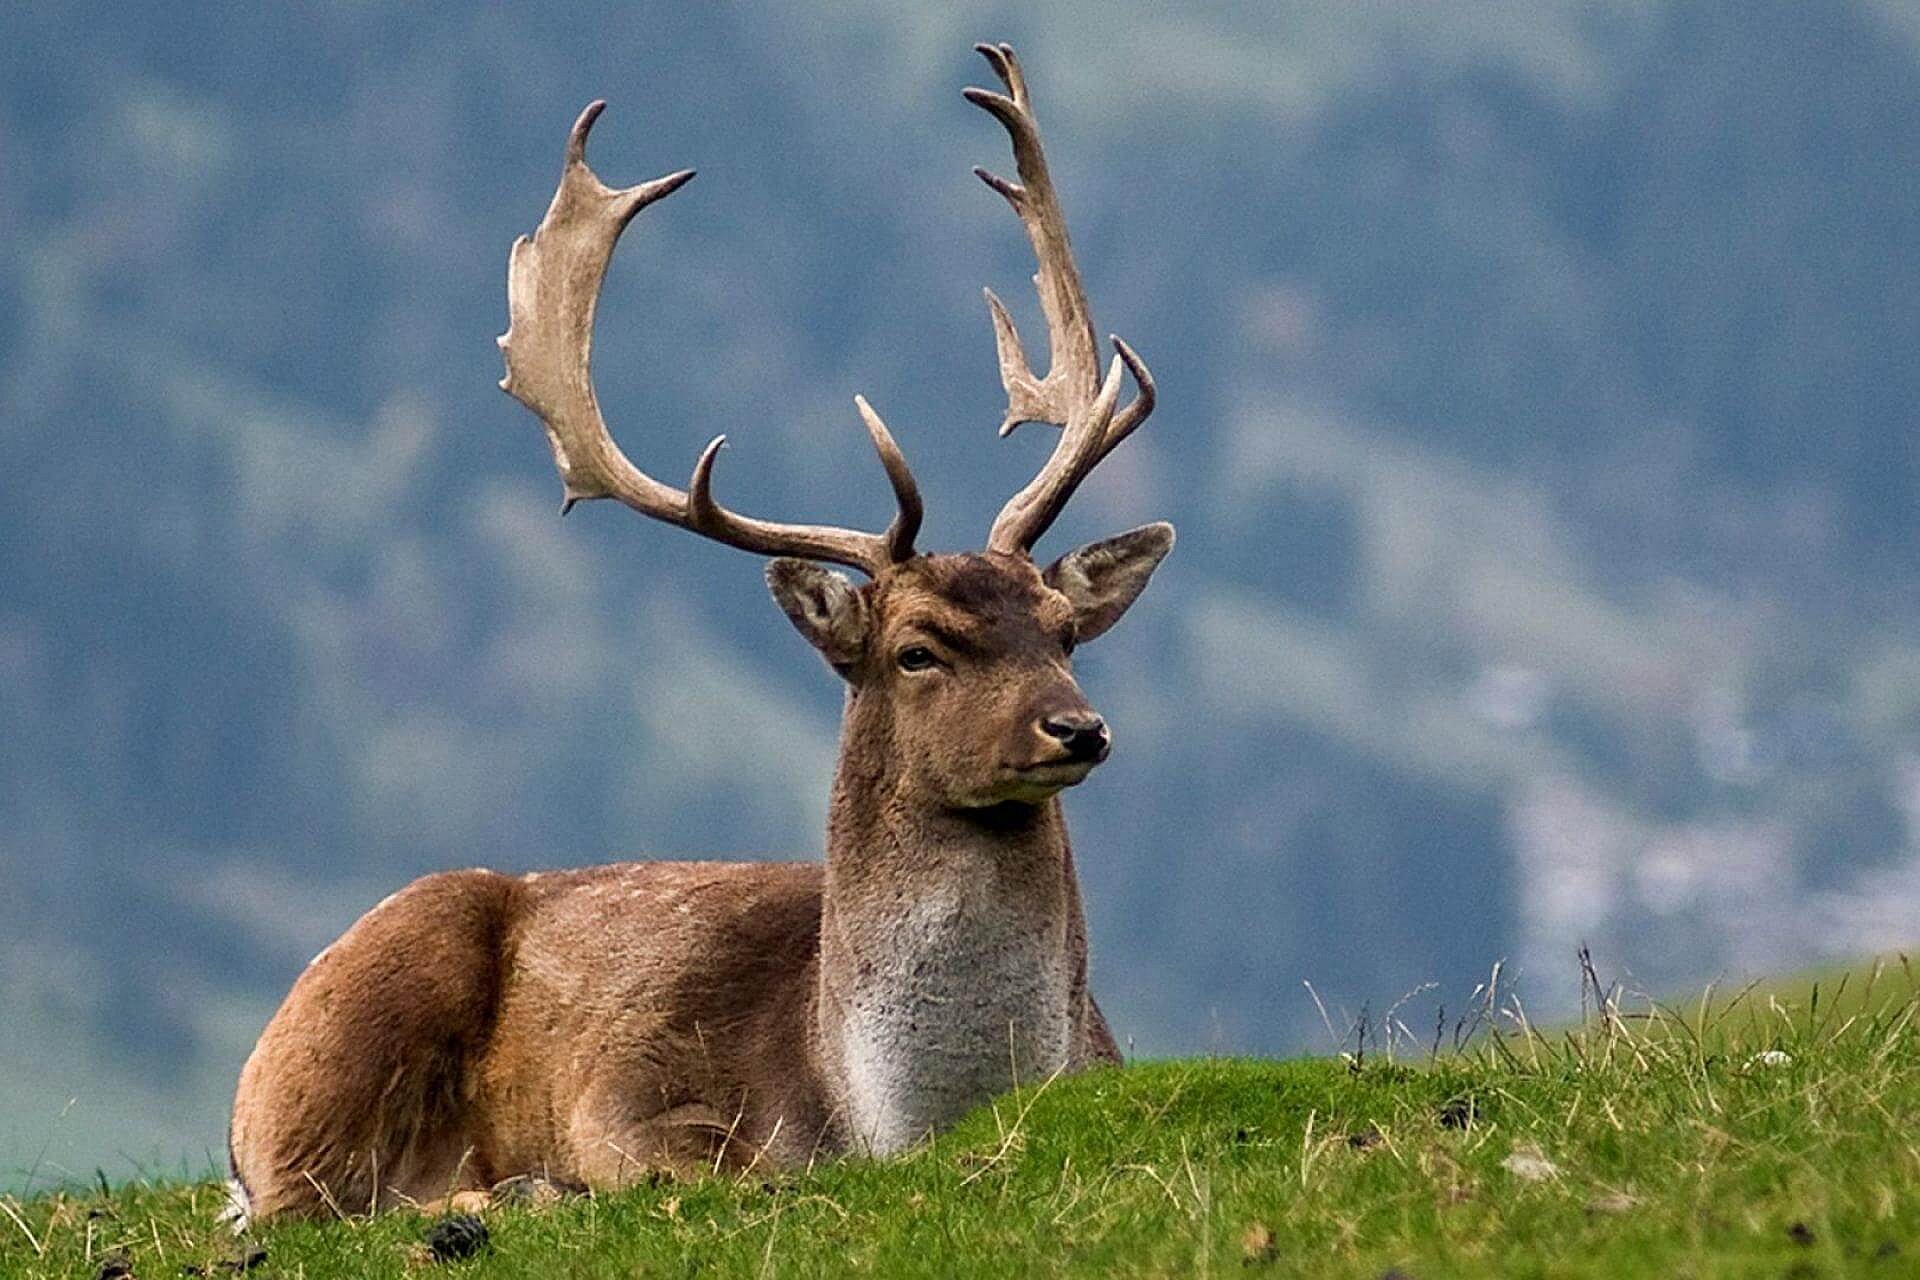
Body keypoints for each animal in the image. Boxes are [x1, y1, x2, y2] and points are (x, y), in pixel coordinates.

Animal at [226, 43, 1171, 1225]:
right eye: (917, 648)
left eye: (1063, 630)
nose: (1077, 729)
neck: (882, 1115)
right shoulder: (627, 1095)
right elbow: (698, 1168)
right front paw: (539, 1183)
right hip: (341, 1033)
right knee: (320, 1199)